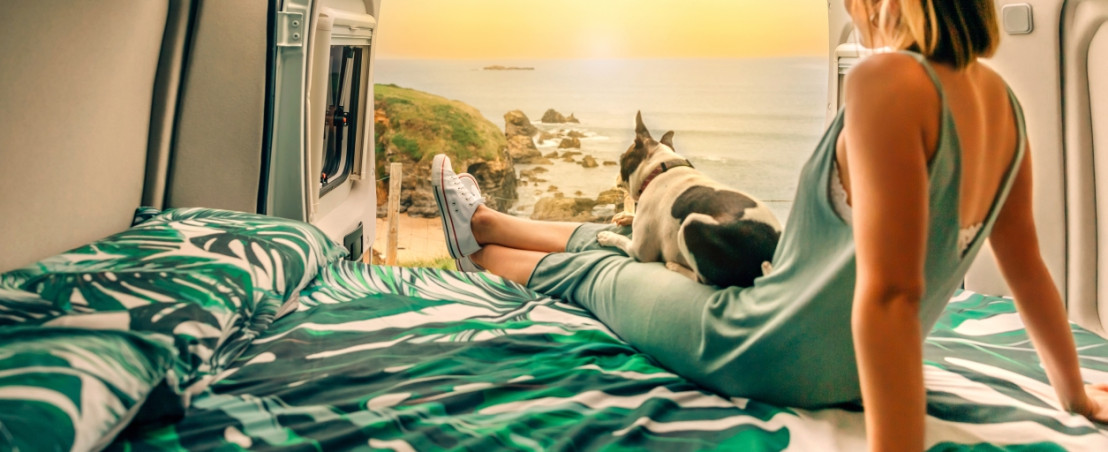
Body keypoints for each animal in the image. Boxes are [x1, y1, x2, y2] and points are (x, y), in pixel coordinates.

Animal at [598, 114, 780, 290]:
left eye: (621, 159)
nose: (616, 176)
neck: (660, 169)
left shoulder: (640, 251)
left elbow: (620, 240)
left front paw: (606, 236)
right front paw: (627, 217)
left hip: (691, 223)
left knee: (704, 280)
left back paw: (673, 265)